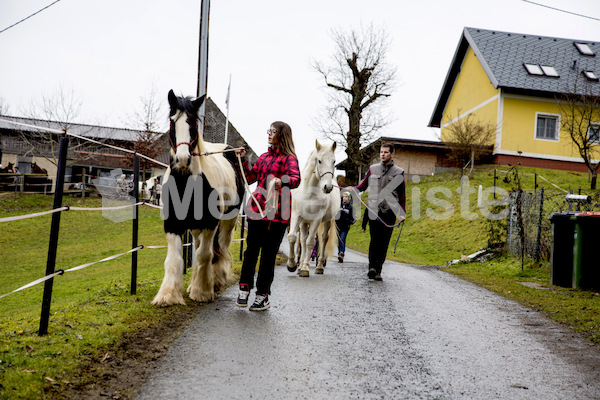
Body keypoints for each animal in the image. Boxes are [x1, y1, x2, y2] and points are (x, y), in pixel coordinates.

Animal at [152, 90, 244, 306]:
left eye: (193, 123)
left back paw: (215, 281)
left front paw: (202, 292)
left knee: (220, 248)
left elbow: (205, 254)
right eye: (172, 121)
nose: (183, 159)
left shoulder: (210, 223)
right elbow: (175, 258)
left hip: (228, 221)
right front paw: (168, 294)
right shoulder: (172, 223)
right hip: (195, 228)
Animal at [288, 141, 340, 278]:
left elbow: (311, 242)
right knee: (302, 239)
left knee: (323, 238)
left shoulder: (317, 219)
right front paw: (292, 265)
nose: (328, 187)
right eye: (319, 160)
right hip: (304, 222)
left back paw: (319, 266)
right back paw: (299, 265)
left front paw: (305, 268)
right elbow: (293, 237)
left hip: (326, 221)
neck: (310, 192)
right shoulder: (297, 216)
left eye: (334, 161)